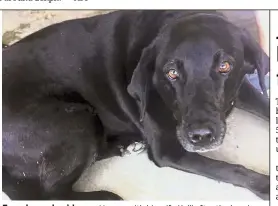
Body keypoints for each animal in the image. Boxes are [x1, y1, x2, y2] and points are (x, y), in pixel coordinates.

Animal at [2, 10, 270, 200]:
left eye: (225, 66)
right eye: (171, 72)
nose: (201, 136)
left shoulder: (241, 88)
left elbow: (267, 105)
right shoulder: (167, 152)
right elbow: (230, 169)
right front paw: (266, 186)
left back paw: (123, 145)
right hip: (76, 117)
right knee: (47, 193)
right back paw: (105, 195)